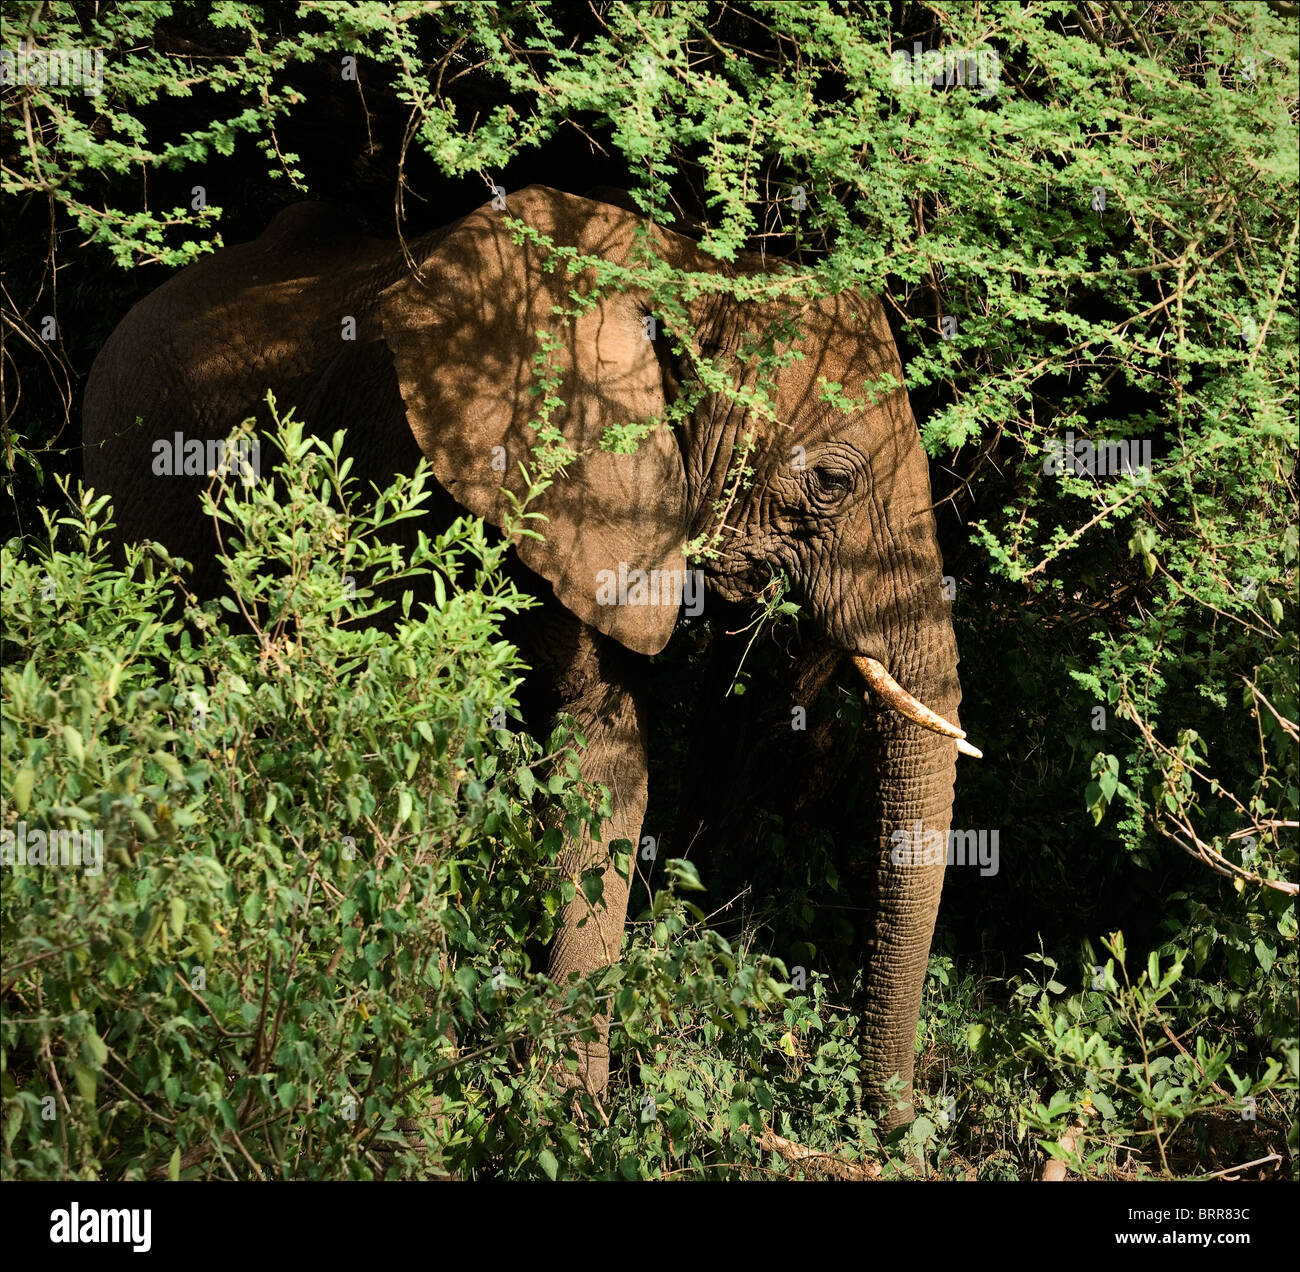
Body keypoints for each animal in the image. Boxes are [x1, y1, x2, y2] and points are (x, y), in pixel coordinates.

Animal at [82, 184, 979, 1136]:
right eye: (833, 484)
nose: (902, 1125)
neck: (690, 274)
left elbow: (605, 760)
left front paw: (562, 1123)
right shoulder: (414, 469)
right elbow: (419, 747)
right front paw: (426, 1107)